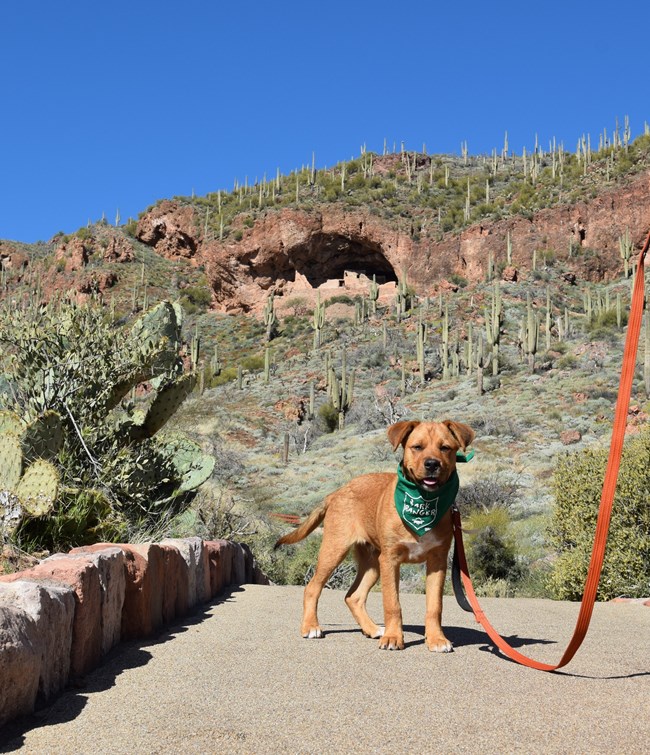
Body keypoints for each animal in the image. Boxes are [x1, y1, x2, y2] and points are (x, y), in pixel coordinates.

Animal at [272, 420, 470, 648]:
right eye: (417, 447)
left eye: (445, 448)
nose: (431, 464)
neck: (423, 501)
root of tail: (336, 492)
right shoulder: (390, 559)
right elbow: (392, 603)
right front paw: (393, 638)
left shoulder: (437, 562)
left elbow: (435, 606)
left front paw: (437, 639)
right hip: (335, 550)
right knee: (312, 588)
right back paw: (311, 627)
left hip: (373, 562)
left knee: (353, 596)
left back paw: (373, 629)